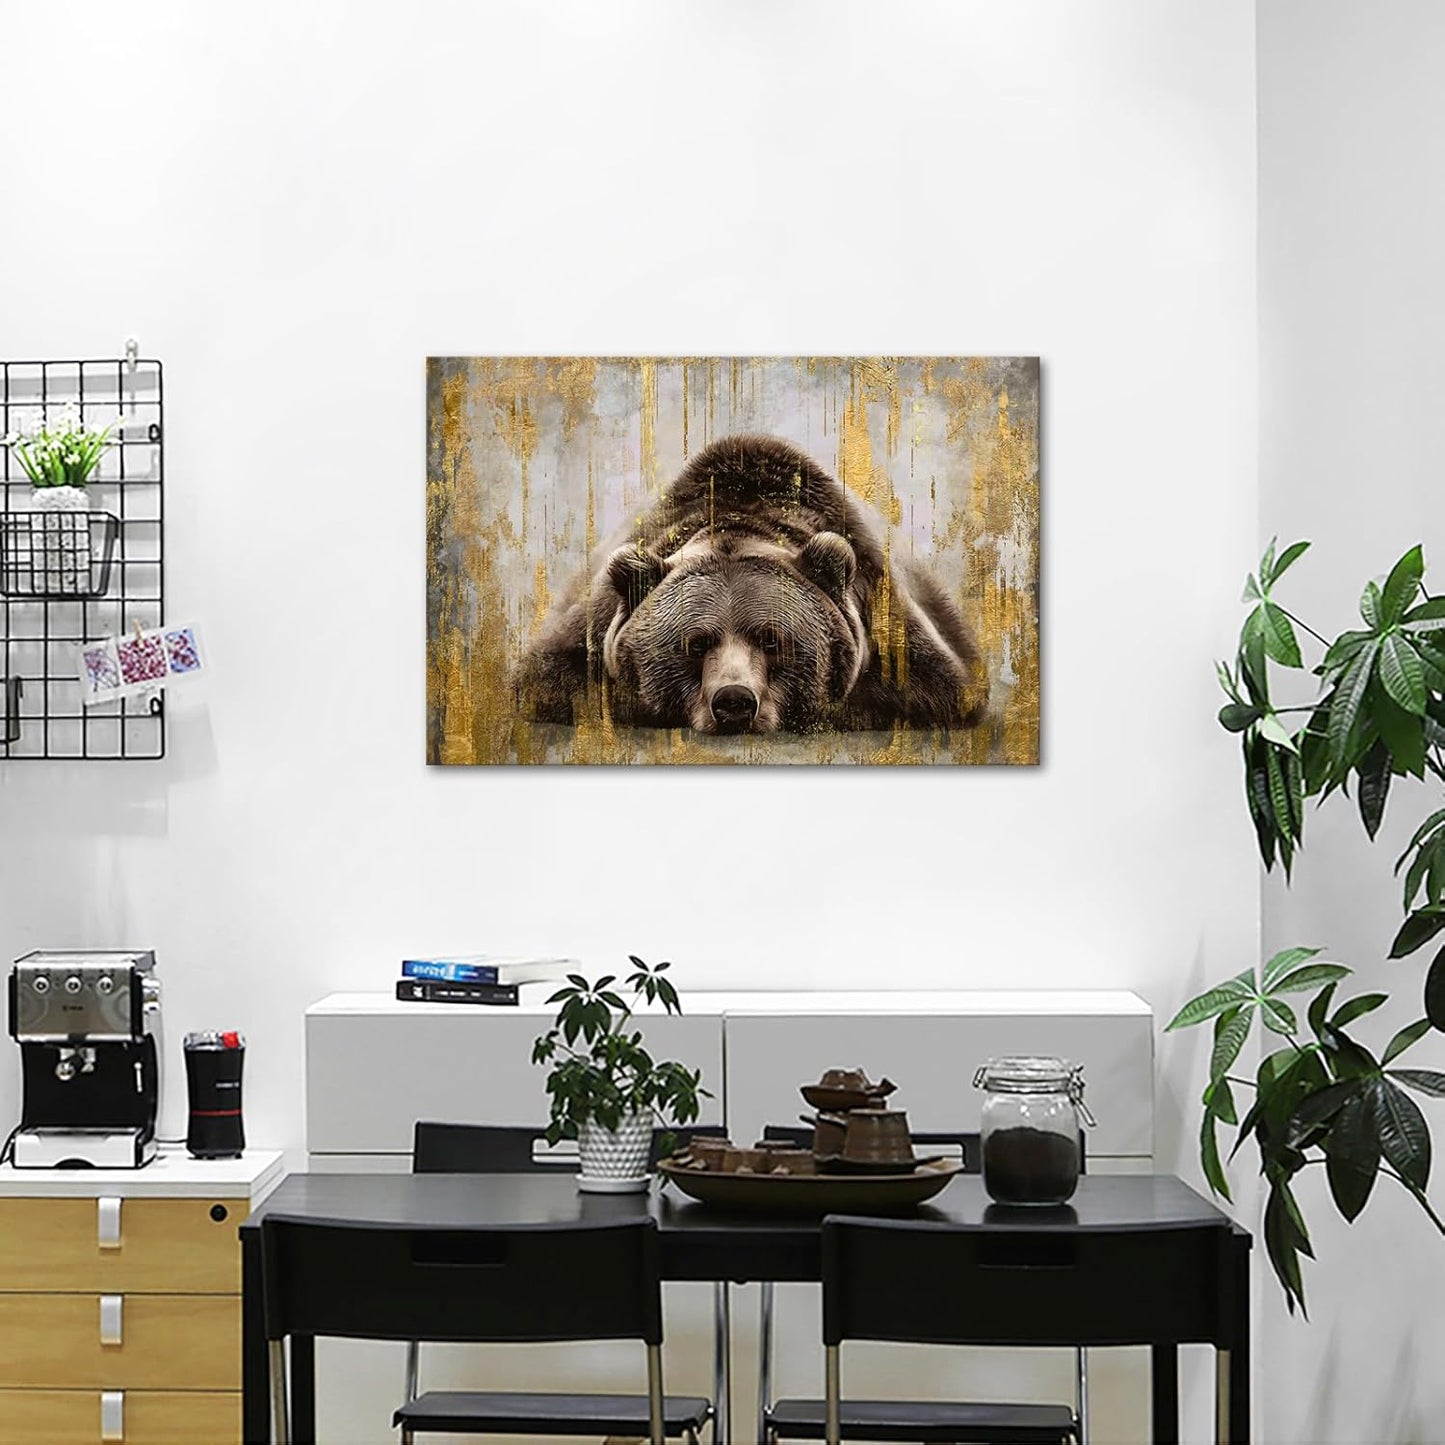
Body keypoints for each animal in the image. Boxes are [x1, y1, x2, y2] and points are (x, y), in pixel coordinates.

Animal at [515, 434, 988, 735]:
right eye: (694, 643)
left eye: (773, 639)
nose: (734, 701)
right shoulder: (594, 621)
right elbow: (549, 678)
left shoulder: (882, 605)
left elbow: (932, 687)